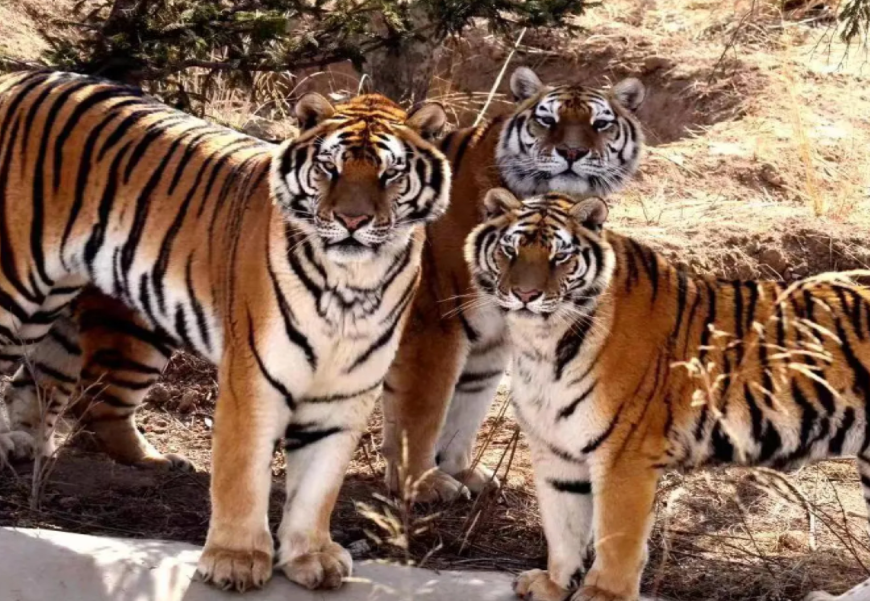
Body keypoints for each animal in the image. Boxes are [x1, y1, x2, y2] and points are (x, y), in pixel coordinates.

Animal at [0, 70, 450, 592]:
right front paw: (236, 560)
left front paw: (312, 556)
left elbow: (319, 484)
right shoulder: (253, 376)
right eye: (329, 168)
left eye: (390, 174)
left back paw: (61, 450)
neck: (353, 285)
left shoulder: (344, 393)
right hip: (19, 288)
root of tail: (21, 75)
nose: (352, 221)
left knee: (54, 391)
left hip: (77, 310)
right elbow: (244, 472)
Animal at [466, 190, 870, 600]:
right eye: (510, 250)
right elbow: (563, 528)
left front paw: (604, 594)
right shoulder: (554, 450)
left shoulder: (624, 454)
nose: (525, 295)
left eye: (559, 257)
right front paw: (553, 585)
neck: (541, 344)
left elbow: (617, 536)